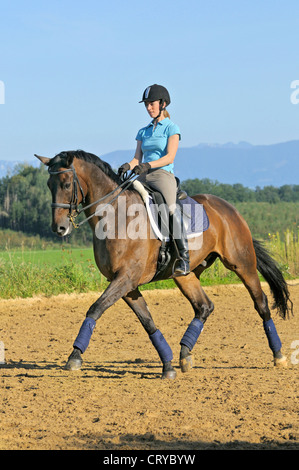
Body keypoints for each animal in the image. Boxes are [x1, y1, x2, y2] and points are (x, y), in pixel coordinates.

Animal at [34, 151, 292, 378]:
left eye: (67, 184)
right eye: (49, 184)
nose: (59, 228)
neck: (116, 216)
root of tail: (229, 208)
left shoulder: (125, 278)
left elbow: (95, 308)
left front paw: (74, 357)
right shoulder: (126, 284)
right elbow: (148, 322)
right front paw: (168, 365)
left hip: (242, 264)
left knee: (261, 303)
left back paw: (279, 355)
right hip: (185, 275)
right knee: (204, 306)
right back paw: (185, 355)